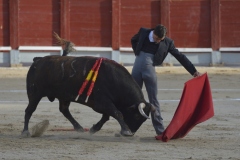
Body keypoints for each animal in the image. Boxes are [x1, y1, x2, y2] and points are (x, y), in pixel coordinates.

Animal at [21, 34, 156, 137]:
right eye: (137, 116)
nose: (132, 132)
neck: (114, 79)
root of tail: (37, 60)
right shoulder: (102, 102)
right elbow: (117, 113)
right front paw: (126, 131)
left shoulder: (104, 104)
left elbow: (106, 116)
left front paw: (94, 129)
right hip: (34, 94)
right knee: (29, 110)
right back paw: (25, 132)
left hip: (63, 96)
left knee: (64, 110)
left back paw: (79, 128)